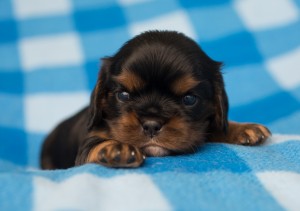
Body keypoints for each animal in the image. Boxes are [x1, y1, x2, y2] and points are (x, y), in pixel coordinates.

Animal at [40, 30, 272, 169]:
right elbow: (97, 145)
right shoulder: (84, 150)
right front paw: (116, 148)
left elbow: (214, 128)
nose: (151, 124)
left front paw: (243, 128)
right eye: (123, 95)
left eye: (189, 99)